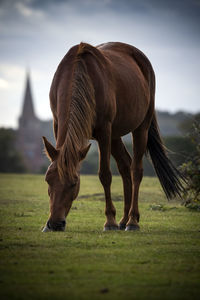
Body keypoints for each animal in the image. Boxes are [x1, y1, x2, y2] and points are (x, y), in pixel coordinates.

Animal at [42, 41, 184, 232]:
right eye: (48, 180)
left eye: (74, 182)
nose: (55, 224)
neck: (79, 73)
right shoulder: (57, 124)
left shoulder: (104, 131)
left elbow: (105, 174)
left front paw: (109, 221)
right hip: (116, 136)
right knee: (125, 166)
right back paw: (124, 220)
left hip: (140, 128)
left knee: (135, 170)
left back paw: (132, 221)